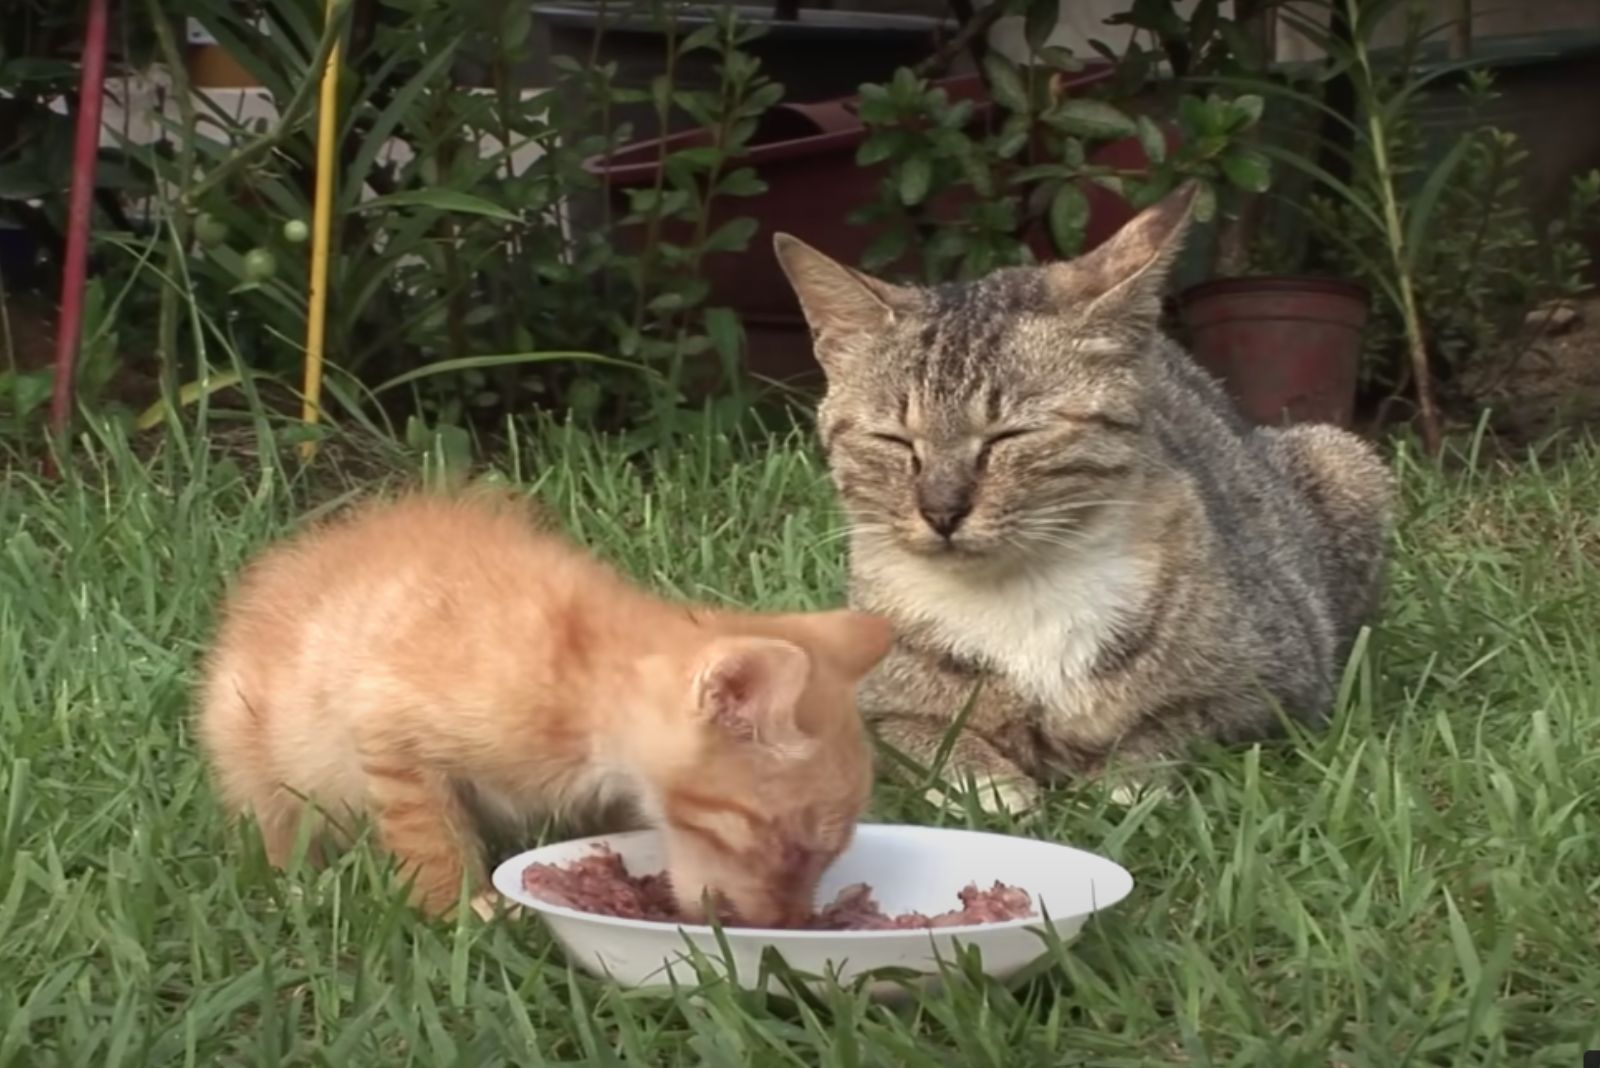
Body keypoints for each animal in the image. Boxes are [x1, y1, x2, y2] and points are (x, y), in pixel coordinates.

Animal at [195, 489, 896, 920]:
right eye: (793, 850)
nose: (792, 922)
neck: (583, 688)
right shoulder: (388, 728)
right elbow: (431, 839)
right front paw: (459, 912)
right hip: (251, 744)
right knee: (278, 820)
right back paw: (296, 885)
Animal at [771, 181, 1388, 808]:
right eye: (894, 440)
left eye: (1010, 435)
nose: (941, 511)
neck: (1020, 593)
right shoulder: (860, 712)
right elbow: (927, 737)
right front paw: (991, 783)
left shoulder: (1274, 687)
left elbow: (1169, 730)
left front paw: (1118, 785)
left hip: (1343, 458)